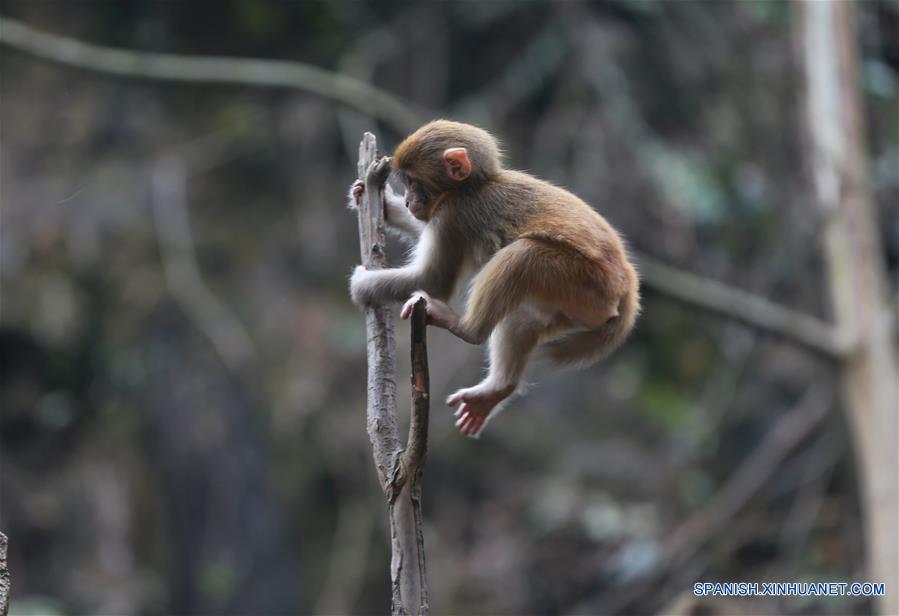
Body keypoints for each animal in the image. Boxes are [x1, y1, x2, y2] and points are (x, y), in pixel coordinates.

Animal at [346, 121, 640, 438]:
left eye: (413, 182)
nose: (410, 200)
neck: (473, 186)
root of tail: (627, 280)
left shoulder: (452, 216)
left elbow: (433, 280)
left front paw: (361, 286)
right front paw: (383, 203)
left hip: (584, 281)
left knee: (523, 255)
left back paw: (466, 328)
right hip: (577, 305)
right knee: (526, 319)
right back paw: (496, 390)